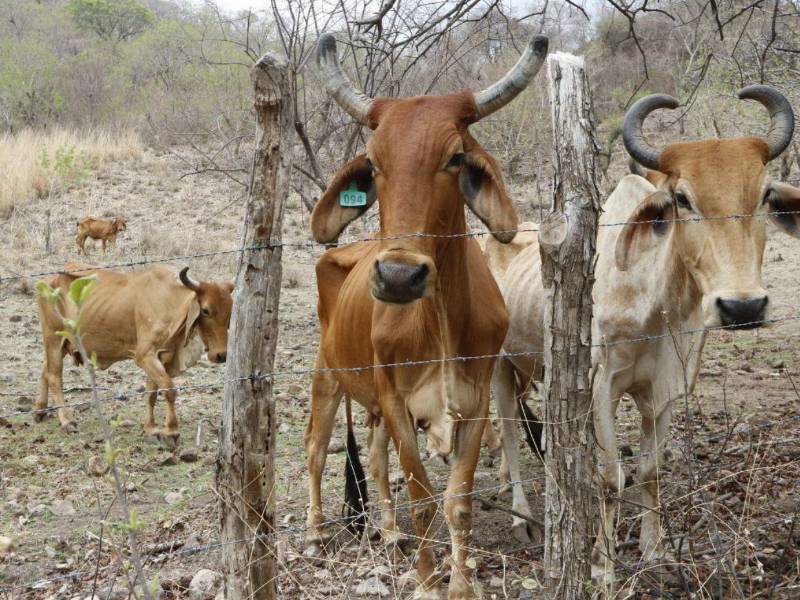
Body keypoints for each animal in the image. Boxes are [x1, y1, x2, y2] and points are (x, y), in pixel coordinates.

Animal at [35, 264, 233, 447]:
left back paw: (40, 410)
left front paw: (151, 430)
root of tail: (46, 281)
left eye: (230, 311)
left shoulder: (160, 357)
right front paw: (171, 431)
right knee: (54, 376)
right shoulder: (144, 355)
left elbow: (151, 395)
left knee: (45, 369)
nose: (222, 355)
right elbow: (169, 389)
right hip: (53, 338)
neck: (169, 302)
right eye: (205, 310)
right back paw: (67, 420)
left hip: (62, 343)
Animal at [304, 33, 548, 599]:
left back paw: (389, 532)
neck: (436, 320)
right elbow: (420, 497)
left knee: (372, 458)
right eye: (373, 163)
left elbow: (456, 502)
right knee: (315, 448)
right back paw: (314, 533)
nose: (398, 277)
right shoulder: (397, 402)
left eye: (455, 157)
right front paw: (429, 581)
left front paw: (458, 583)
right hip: (328, 377)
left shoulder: (475, 401)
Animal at [492, 84, 800, 585]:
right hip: (495, 367)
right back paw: (521, 517)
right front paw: (602, 565)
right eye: (683, 199)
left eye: (765, 194)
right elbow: (611, 476)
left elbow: (651, 470)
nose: (743, 307)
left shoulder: (665, 387)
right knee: (507, 431)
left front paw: (655, 552)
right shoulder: (599, 387)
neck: (653, 302)